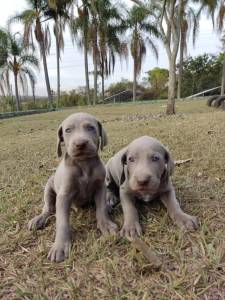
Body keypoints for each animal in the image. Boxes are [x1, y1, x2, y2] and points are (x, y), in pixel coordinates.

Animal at [28, 112, 118, 262]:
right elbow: (62, 222)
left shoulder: (100, 188)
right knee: (48, 208)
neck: (84, 164)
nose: (80, 144)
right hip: (48, 187)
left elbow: (101, 209)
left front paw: (106, 225)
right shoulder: (64, 195)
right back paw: (39, 219)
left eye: (91, 128)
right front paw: (60, 246)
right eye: (68, 130)